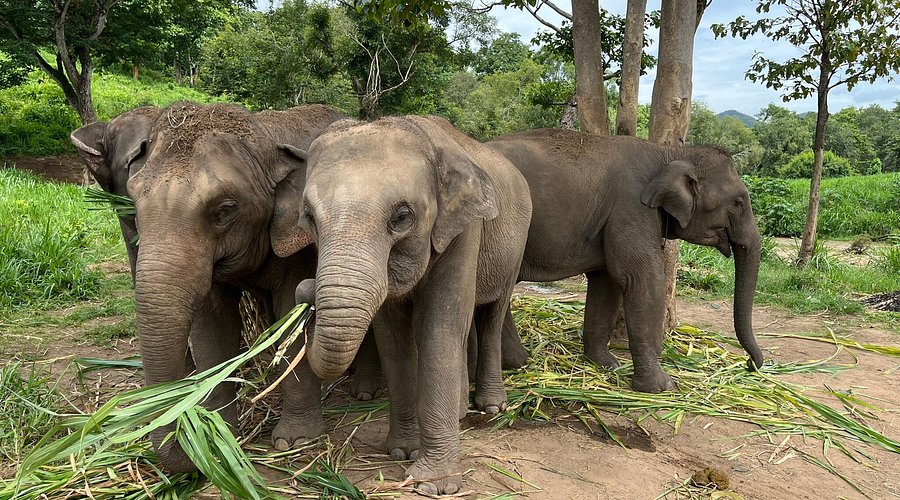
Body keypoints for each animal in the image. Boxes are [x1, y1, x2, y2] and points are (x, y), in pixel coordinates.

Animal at [282, 116, 532, 494]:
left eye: (402, 217)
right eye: (309, 217)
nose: (305, 290)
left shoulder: (464, 230)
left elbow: (439, 329)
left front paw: (436, 485)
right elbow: (393, 339)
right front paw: (402, 451)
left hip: (514, 250)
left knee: (491, 315)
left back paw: (491, 407)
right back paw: (460, 412)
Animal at [487, 129, 764, 393]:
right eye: (738, 202)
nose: (750, 364)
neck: (670, 153)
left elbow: (607, 283)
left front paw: (606, 364)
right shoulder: (631, 209)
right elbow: (643, 280)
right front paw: (661, 387)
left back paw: (518, 362)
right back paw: (515, 363)